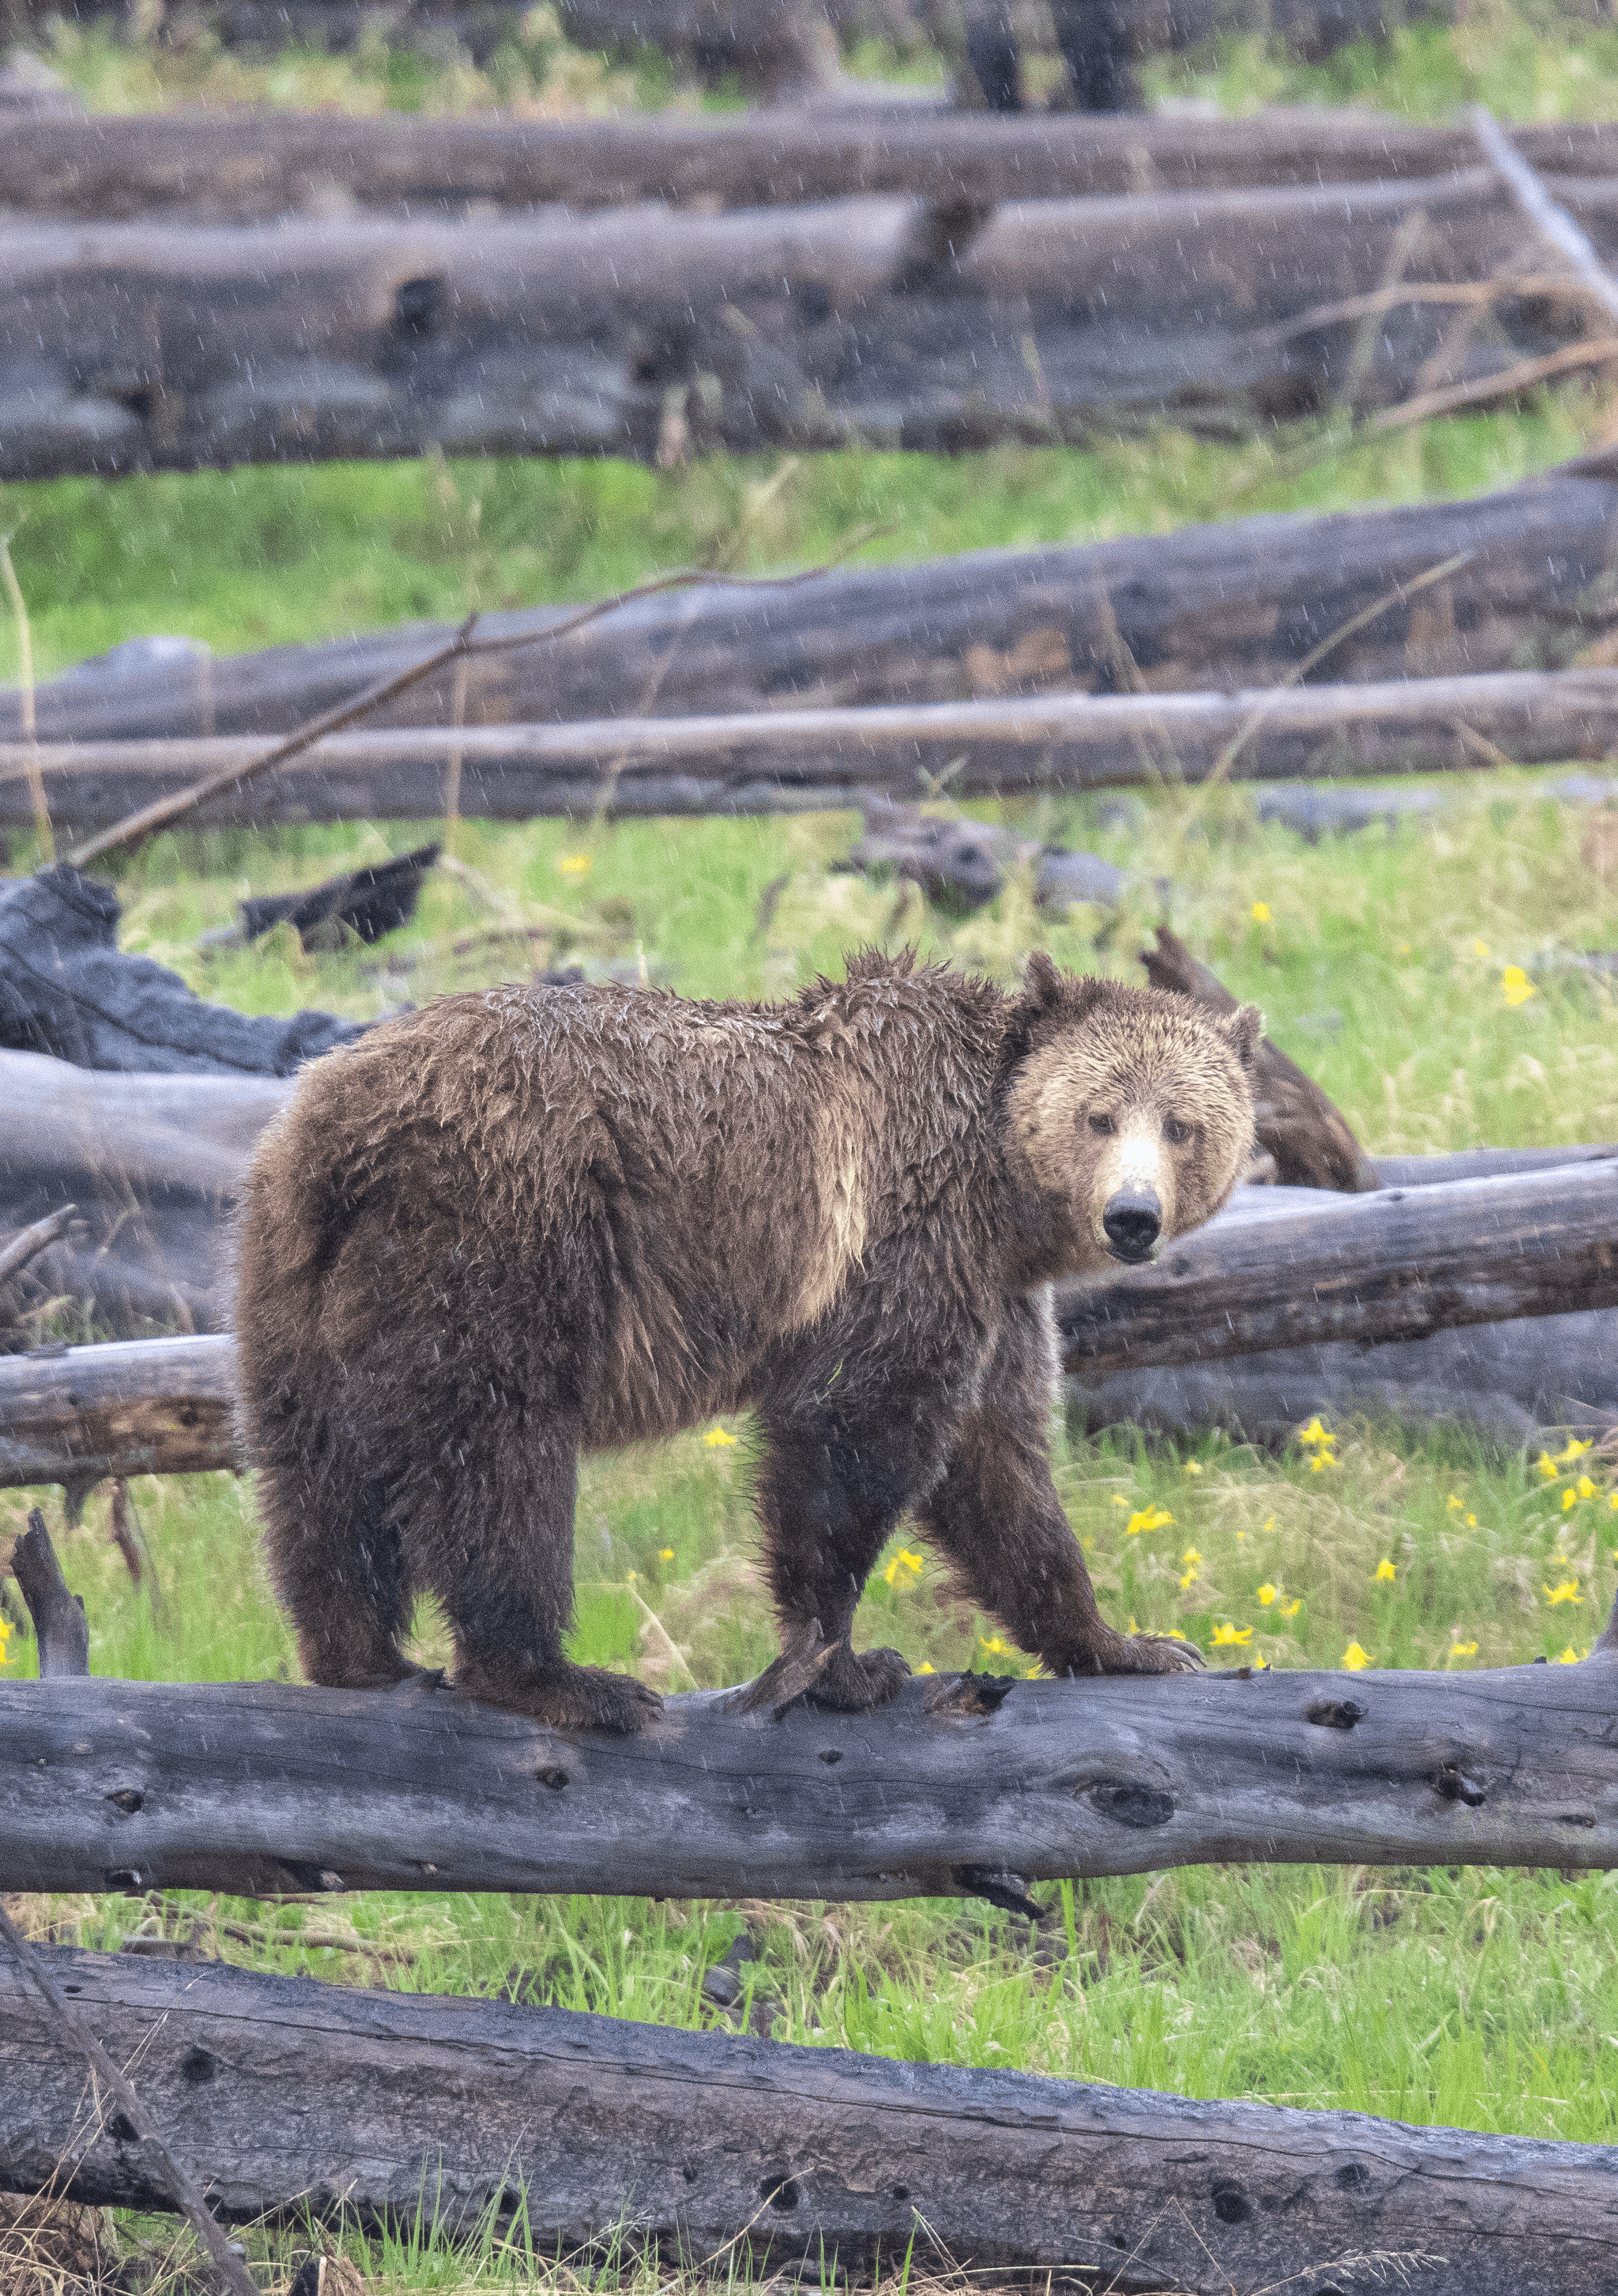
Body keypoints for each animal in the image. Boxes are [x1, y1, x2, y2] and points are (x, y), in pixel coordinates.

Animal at [235, 950, 1259, 1732]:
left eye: (1183, 1124)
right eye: (1099, 1115)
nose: (1132, 1216)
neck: (1001, 1190)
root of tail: (345, 1122)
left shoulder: (994, 1294)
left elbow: (999, 1467)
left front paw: (1128, 1643)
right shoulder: (902, 1241)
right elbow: (851, 1436)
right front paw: (843, 1663)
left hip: (292, 1266)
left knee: (311, 1466)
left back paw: (360, 1655)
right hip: (501, 1233)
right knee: (496, 1457)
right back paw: (557, 1677)